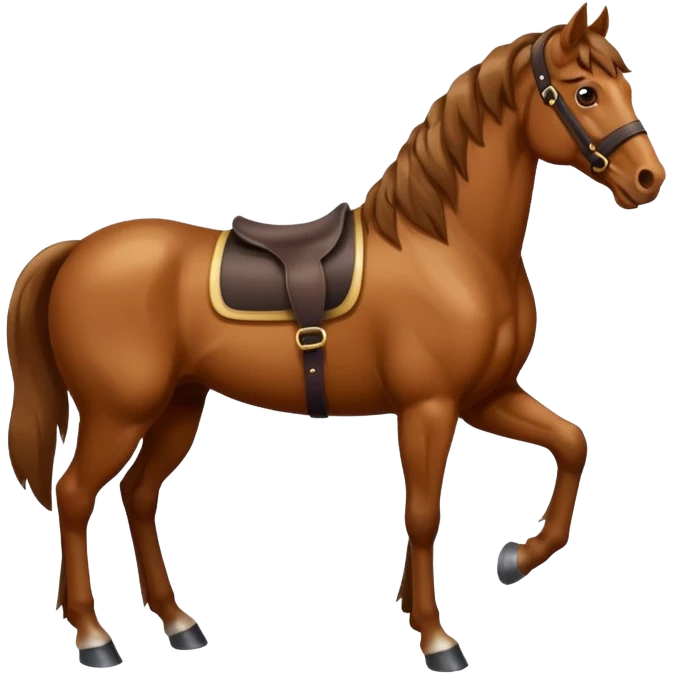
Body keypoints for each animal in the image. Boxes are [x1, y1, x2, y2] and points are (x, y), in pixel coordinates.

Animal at [6, 3, 665, 671]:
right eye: (585, 92)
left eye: (625, 83)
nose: (647, 178)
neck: (452, 248)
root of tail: (77, 251)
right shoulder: (430, 408)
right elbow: (422, 516)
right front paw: (436, 637)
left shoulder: (487, 397)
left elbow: (572, 444)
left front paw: (513, 560)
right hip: (119, 413)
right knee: (74, 495)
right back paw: (93, 637)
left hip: (177, 406)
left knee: (138, 496)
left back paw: (179, 624)